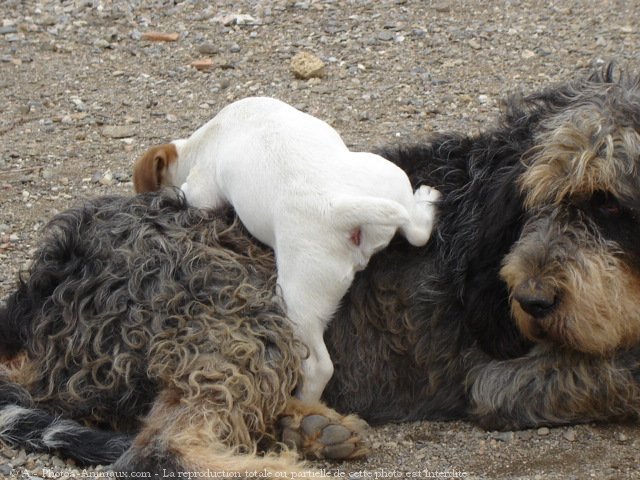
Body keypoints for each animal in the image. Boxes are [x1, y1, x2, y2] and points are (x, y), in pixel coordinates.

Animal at [132, 96, 438, 402]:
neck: (200, 143)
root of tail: (337, 207)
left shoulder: (201, 191)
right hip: (390, 179)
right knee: (417, 231)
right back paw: (427, 199)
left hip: (298, 300)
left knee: (319, 367)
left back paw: (304, 400)